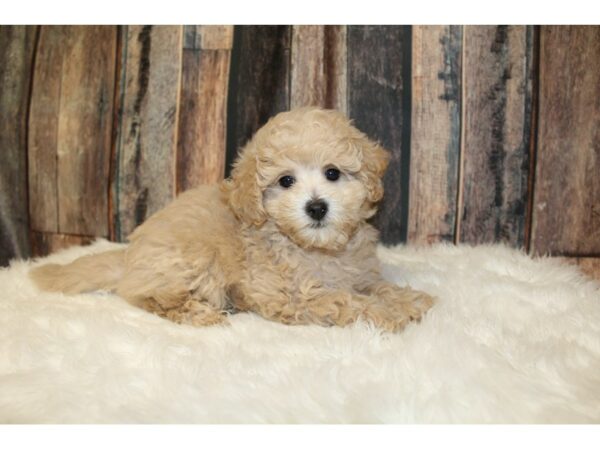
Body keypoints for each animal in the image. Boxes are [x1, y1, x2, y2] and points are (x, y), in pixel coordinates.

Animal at [30, 107, 434, 332]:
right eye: (285, 181)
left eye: (333, 173)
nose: (317, 207)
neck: (316, 249)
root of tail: (129, 256)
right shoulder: (292, 295)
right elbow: (346, 302)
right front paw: (387, 314)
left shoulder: (359, 274)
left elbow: (373, 287)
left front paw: (408, 299)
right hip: (193, 263)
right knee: (149, 298)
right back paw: (200, 314)